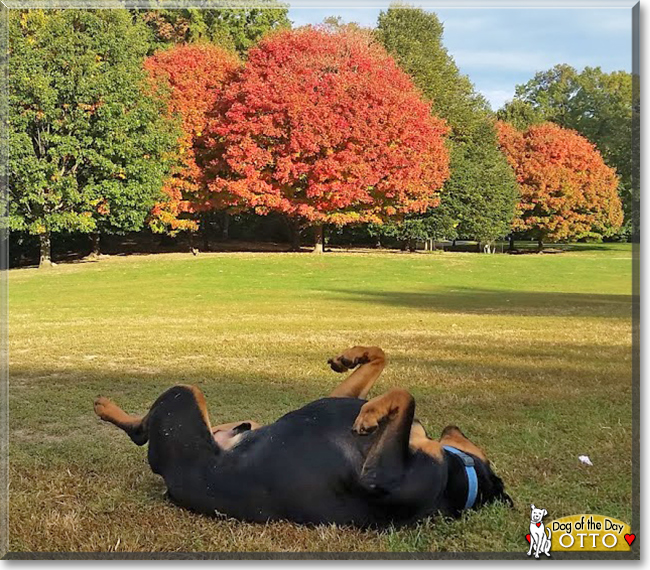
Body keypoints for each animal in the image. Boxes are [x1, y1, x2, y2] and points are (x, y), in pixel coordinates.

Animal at [95, 344, 512, 524]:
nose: (454, 426)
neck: (456, 479)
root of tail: (169, 480)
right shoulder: (339, 398)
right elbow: (381, 359)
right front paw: (350, 356)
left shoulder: (379, 474)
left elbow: (405, 396)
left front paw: (371, 413)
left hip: (182, 398)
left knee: (140, 430)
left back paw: (104, 406)